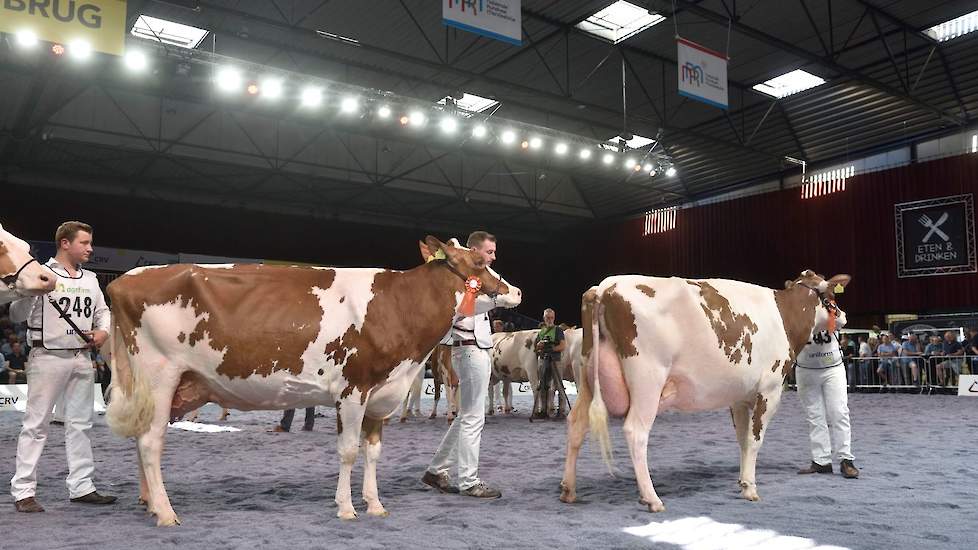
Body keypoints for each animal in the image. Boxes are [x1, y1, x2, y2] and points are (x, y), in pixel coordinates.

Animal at [101, 236, 520, 528]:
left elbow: (373, 452)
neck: (398, 307)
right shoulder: (353, 389)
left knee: (142, 439)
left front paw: (375, 504)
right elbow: (348, 450)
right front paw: (347, 508)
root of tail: (124, 280)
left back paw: (149, 502)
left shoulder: (381, 392)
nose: (516, 290)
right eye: (481, 261)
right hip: (159, 376)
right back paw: (165, 512)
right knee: (151, 443)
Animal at [560, 272, 852, 512]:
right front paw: (751, 488)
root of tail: (604, 287)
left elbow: (743, 440)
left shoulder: (739, 397)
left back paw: (568, 489)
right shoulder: (769, 390)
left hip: (587, 379)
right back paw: (652, 498)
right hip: (647, 379)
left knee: (576, 424)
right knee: (636, 431)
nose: (844, 315)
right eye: (830, 296)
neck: (784, 316)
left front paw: (742, 481)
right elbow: (755, 440)